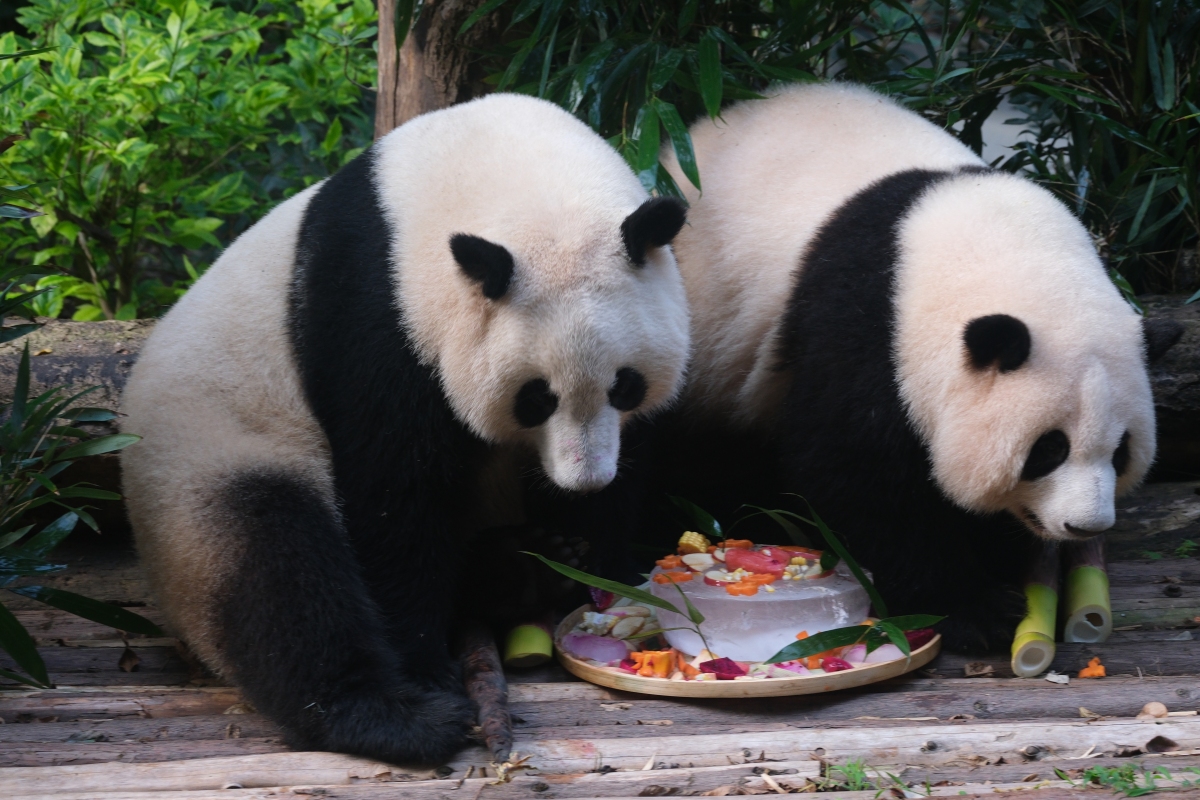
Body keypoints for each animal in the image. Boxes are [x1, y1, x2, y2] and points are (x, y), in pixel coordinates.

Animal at [121, 94, 691, 762]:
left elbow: (629, 470)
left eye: (625, 385)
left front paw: (591, 564)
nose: (583, 480)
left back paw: (524, 569)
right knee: (277, 572)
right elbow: (395, 490)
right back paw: (392, 716)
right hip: (208, 463)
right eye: (536, 398)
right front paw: (423, 665)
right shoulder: (377, 310)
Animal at [667, 84, 1180, 652]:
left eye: (1121, 451)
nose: (1085, 527)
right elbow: (860, 475)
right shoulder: (865, 325)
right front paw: (975, 610)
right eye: (1049, 449)